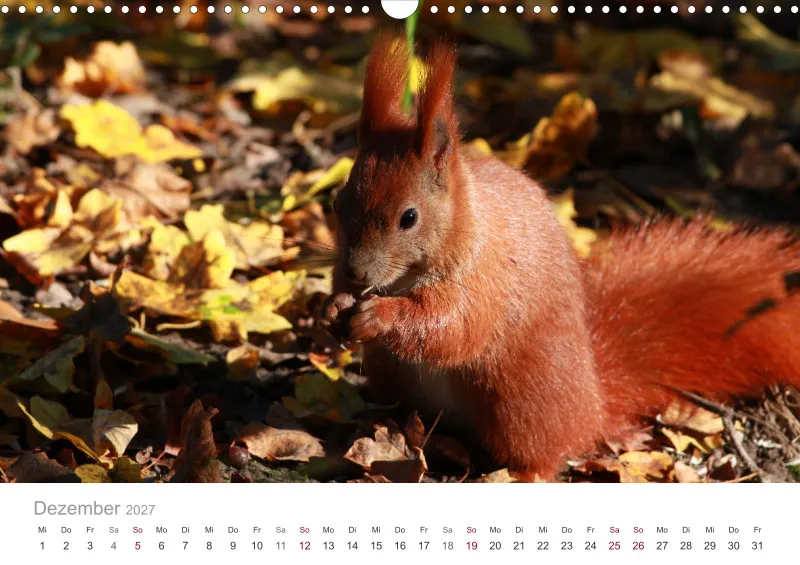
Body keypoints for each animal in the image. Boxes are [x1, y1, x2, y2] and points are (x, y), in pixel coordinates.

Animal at [318, 33, 800, 481]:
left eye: (409, 217)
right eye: (339, 201)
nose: (356, 271)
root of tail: (593, 404)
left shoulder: (485, 280)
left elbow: (455, 328)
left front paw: (379, 316)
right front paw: (333, 308)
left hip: (522, 401)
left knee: (544, 453)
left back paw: (514, 473)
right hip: (393, 378)